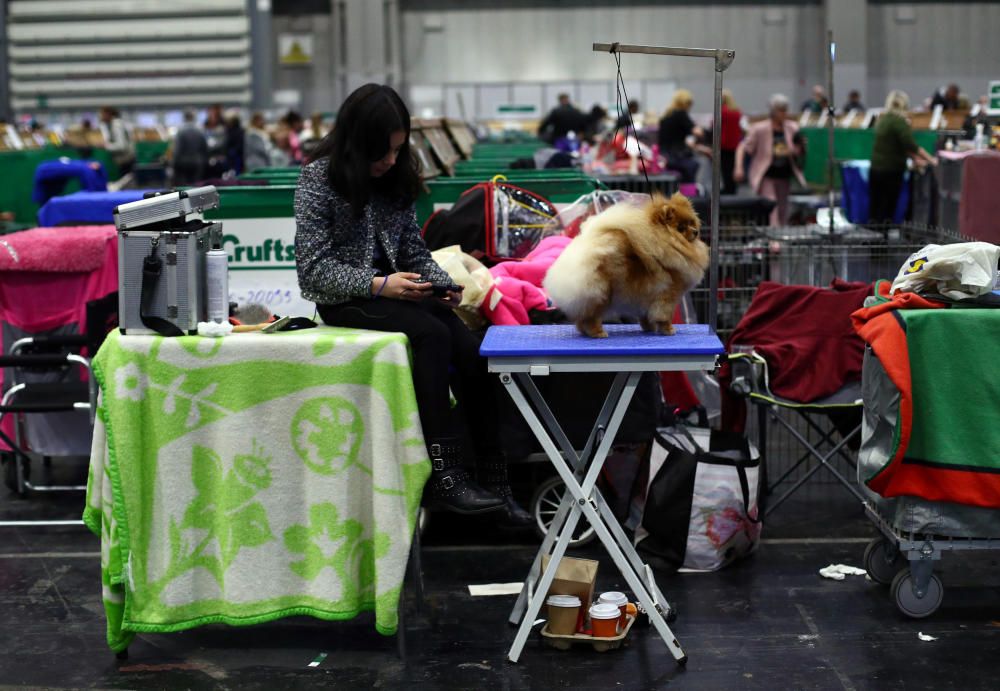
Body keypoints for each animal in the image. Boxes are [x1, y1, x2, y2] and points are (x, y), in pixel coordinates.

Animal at [544, 193, 708, 340]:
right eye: (681, 228)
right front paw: (668, 330)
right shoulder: (668, 294)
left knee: (581, 318)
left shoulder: (648, 297)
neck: (669, 243)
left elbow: (646, 316)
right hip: (601, 294)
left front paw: (649, 328)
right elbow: (664, 316)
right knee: (591, 317)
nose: (695, 231)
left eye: (692, 223)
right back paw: (597, 333)